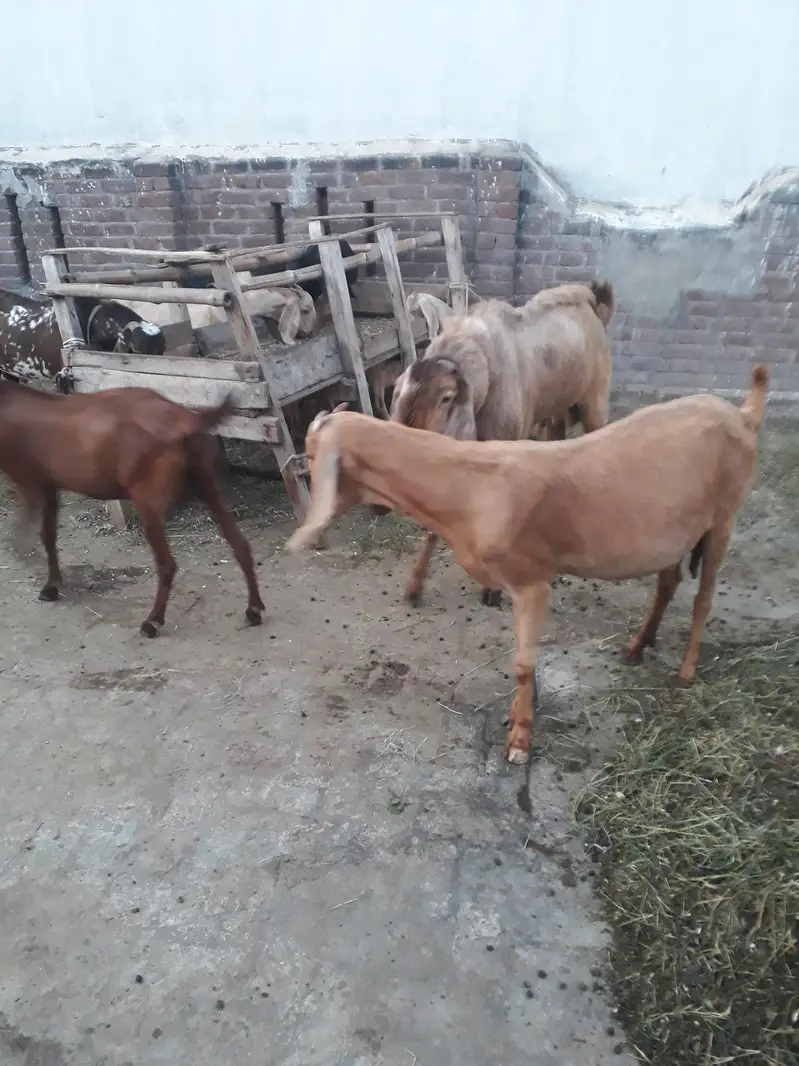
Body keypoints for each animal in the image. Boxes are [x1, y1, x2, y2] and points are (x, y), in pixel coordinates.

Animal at [0, 381, 264, 636]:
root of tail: (184, 418)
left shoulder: (30, 484)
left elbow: (31, 530)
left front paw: (27, 558)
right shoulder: (48, 486)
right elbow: (49, 536)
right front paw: (52, 585)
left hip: (147, 500)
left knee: (167, 564)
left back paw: (153, 621)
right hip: (206, 483)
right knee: (240, 544)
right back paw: (254, 609)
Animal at [285, 366, 769, 766]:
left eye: (311, 453)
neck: (470, 488)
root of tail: (743, 414)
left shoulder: (532, 580)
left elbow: (521, 663)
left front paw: (520, 740)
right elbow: (524, 662)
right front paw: (522, 713)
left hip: (724, 519)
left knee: (704, 598)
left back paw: (685, 673)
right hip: (673, 535)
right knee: (668, 582)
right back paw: (636, 646)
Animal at [390, 280, 615, 607]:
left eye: (446, 397)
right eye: (399, 391)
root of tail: (590, 297)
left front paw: (492, 589)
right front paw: (414, 586)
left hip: (594, 402)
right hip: (555, 411)